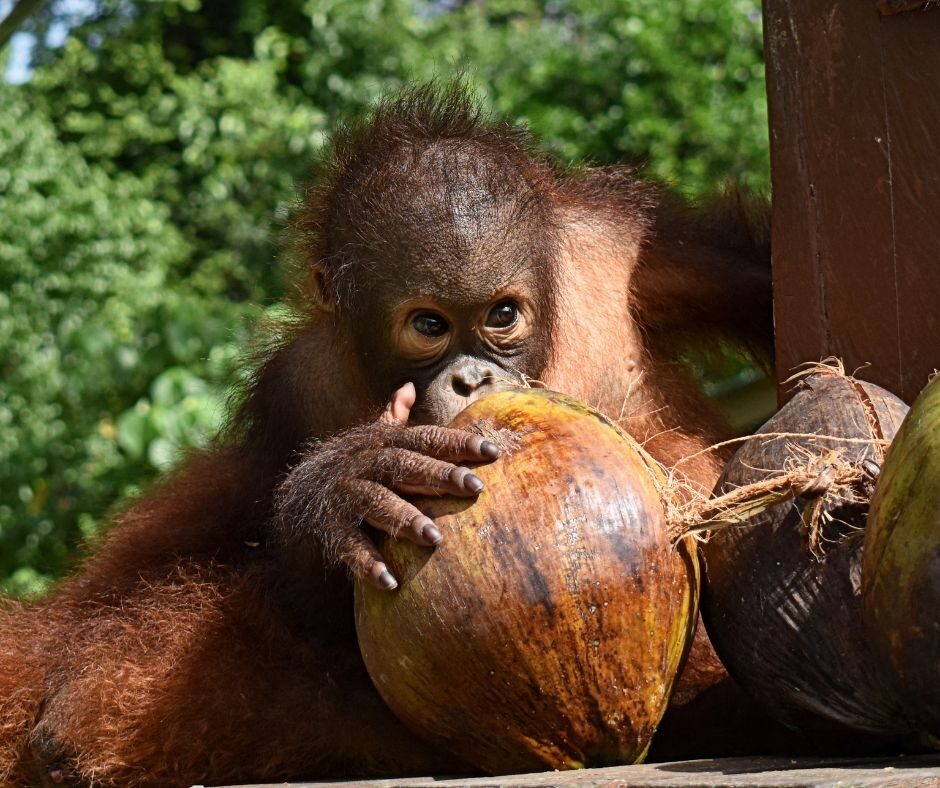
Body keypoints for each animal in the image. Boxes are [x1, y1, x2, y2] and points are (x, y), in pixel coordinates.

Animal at [0, 83, 776, 787]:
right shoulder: (297, 384)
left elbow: (751, 276)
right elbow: (294, 572)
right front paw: (349, 485)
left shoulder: (627, 244)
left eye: (501, 314)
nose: (471, 380)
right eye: (428, 325)